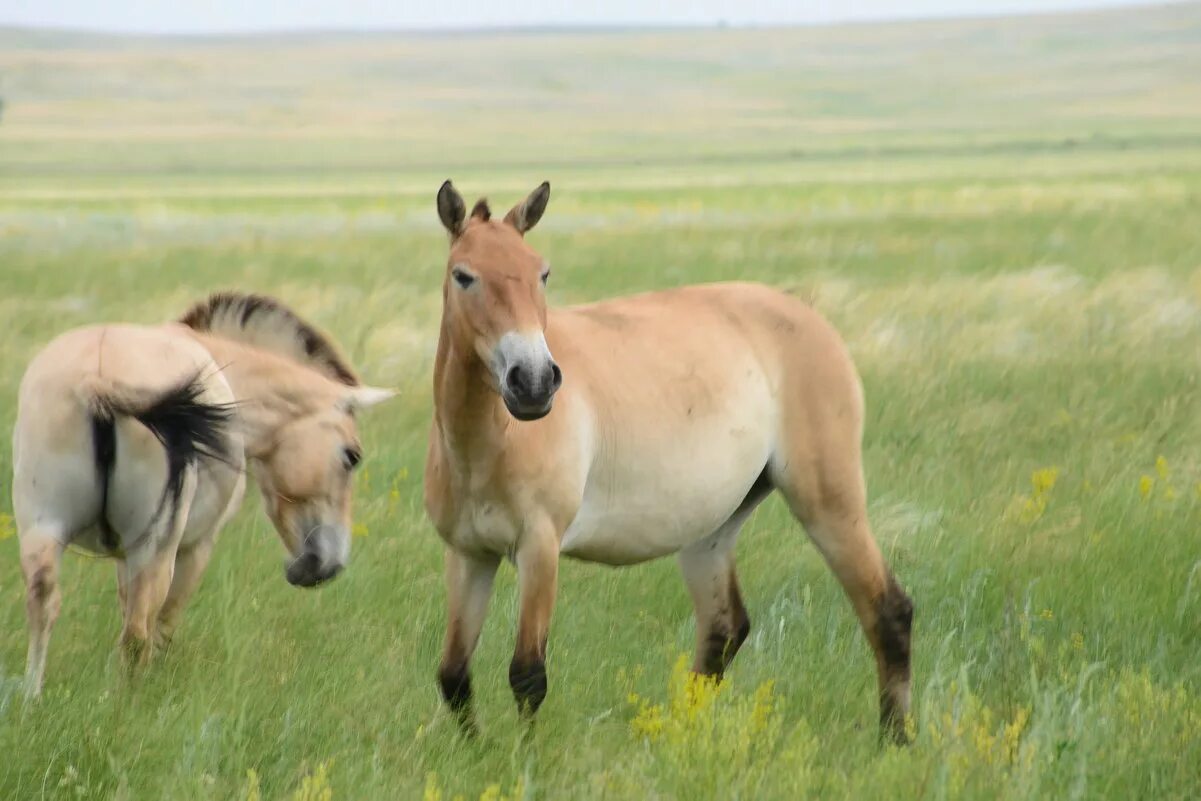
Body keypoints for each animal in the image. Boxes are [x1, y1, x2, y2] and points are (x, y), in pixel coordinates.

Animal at [12, 291, 393, 696]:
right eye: (352, 456)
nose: (326, 566)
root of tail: (96, 379)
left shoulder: (122, 557)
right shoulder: (196, 548)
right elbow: (163, 625)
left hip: (42, 532)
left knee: (44, 604)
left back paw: (33, 696)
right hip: (154, 550)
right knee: (136, 634)